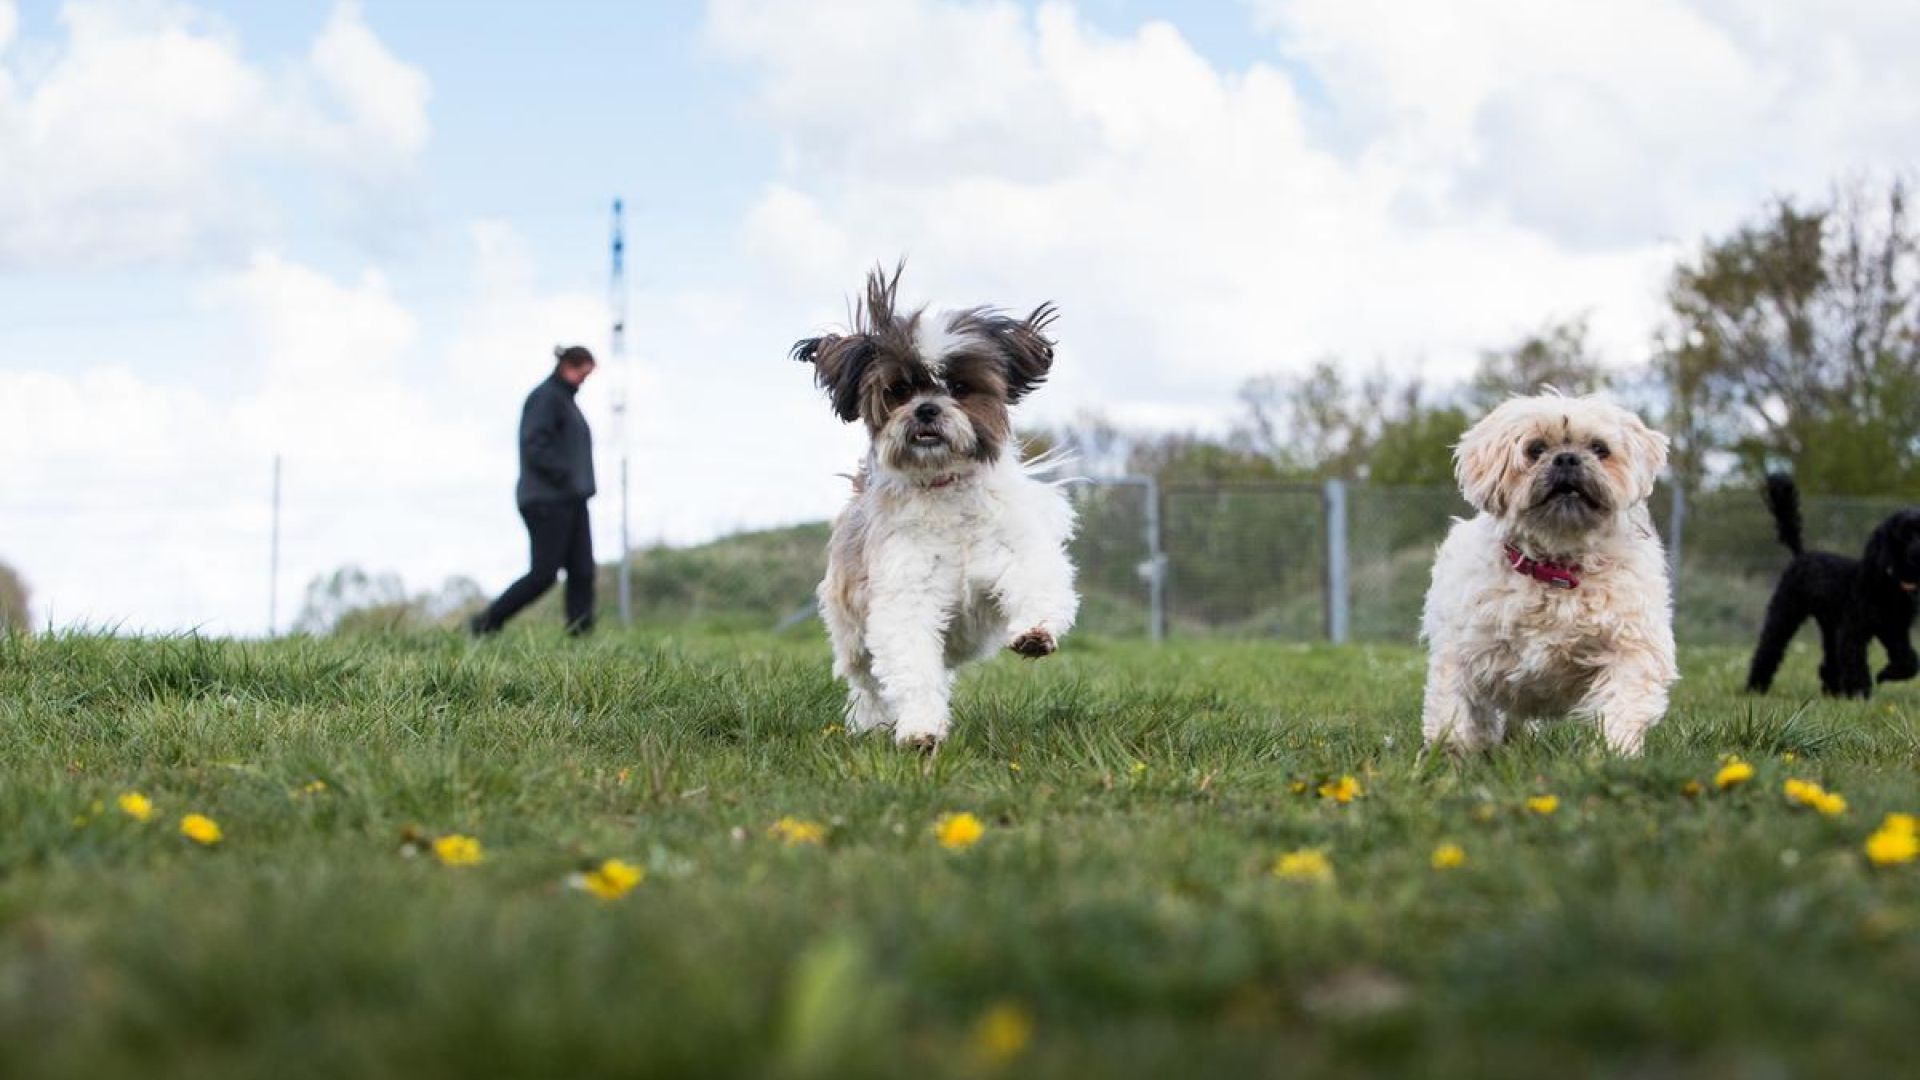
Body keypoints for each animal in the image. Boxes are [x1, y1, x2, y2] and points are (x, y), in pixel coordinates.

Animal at [783, 265, 1082, 745]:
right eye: (899, 391)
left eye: (960, 388)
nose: (925, 409)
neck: (945, 487)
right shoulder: (906, 590)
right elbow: (912, 664)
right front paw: (920, 727)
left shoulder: (1017, 548)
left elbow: (1036, 583)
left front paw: (1035, 633)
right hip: (852, 635)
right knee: (868, 683)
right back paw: (872, 723)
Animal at [1420, 390, 1674, 753]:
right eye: (1535, 449)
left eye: (1600, 449)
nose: (1566, 458)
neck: (1556, 565)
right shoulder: (1460, 654)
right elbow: (1454, 714)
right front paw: (1455, 755)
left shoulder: (1632, 646)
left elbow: (1623, 705)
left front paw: (1615, 751)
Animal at [1751, 472, 1920, 691]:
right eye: (1905, 534)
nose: (1918, 553)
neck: (1887, 584)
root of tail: (1801, 554)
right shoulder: (1853, 630)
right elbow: (1856, 664)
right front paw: (1859, 692)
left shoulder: (1895, 630)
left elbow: (1909, 661)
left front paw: (1884, 675)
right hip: (1785, 613)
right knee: (1769, 648)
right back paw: (1754, 687)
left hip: (1829, 625)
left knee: (1829, 661)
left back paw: (1833, 690)